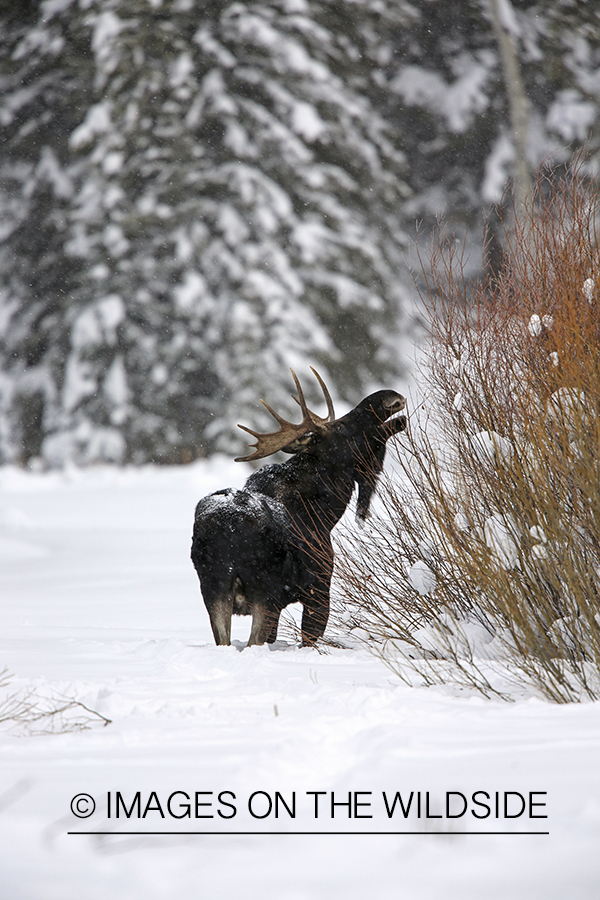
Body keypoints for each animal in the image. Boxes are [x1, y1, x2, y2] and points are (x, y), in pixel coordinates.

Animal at [191, 368, 406, 647]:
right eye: (342, 426)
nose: (390, 396)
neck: (325, 514)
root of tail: (229, 527)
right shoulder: (318, 589)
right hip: (263, 592)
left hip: (214, 589)